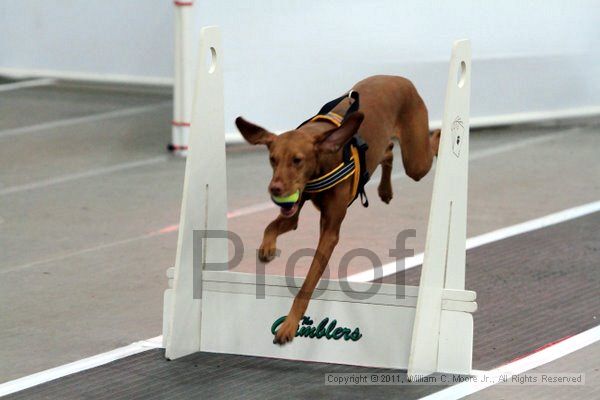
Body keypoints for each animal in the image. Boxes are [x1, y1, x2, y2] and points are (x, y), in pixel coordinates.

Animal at [236, 75, 440, 344]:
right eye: (273, 159)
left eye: (297, 160)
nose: (275, 189)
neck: (322, 162)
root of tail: (399, 78)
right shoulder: (294, 212)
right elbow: (272, 225)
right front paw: (267, 248)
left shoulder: (330, 232)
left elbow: (307, 283)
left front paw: (289, 324)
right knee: (387, 151)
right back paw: (385, 189)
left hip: (417, 161)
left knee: (428, 147)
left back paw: (444, 135)